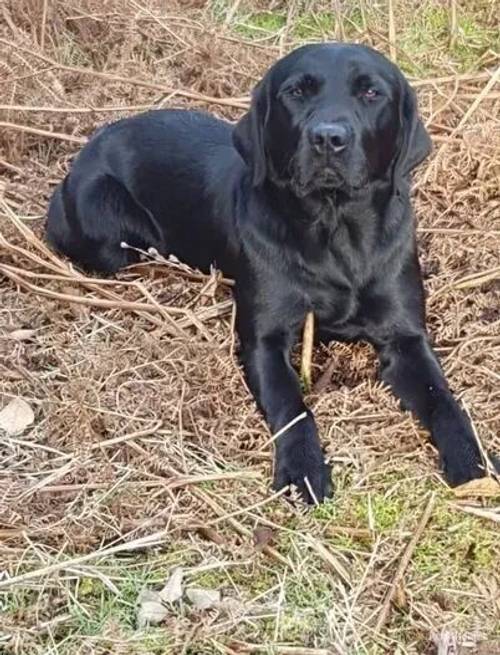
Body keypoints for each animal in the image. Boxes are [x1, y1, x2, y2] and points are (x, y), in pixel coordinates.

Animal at [45, 43, 490, 504]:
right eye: (297, 91)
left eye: (371, 92)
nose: (328, 138)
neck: (335, 232)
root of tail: (91, 144)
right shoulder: (263, 341)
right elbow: (292, 406)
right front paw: (303, 469)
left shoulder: (406, 337)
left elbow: (444, 400)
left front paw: (473, 461)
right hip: (104, 222)